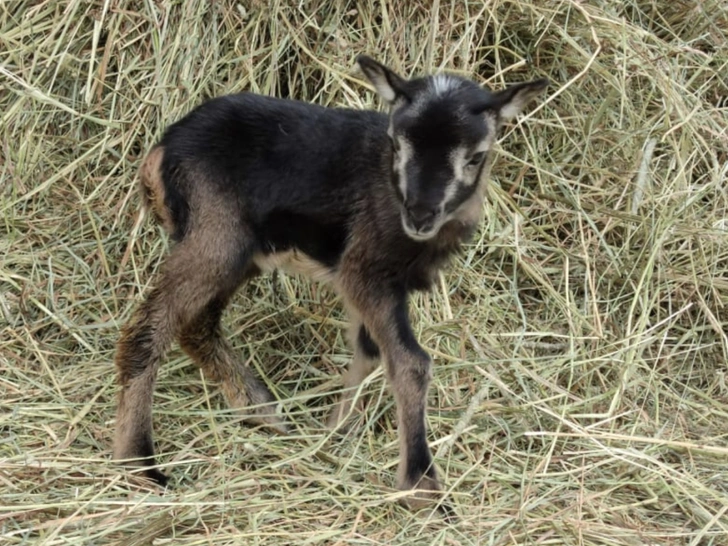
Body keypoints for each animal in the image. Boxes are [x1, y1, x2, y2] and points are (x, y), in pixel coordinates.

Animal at [112, 55, 544, 506]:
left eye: (476, 157)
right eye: (396, 143)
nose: (420, 214)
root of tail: (163, 149)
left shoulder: (377, 285)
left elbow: (369, 350)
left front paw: (336, 431)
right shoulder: (365, 272)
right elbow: (410, 362)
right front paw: (422, 486)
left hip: (238, 250)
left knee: (197, 325)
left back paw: (263, 413)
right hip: (215, 235)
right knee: (151, 326)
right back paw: (140, 463)